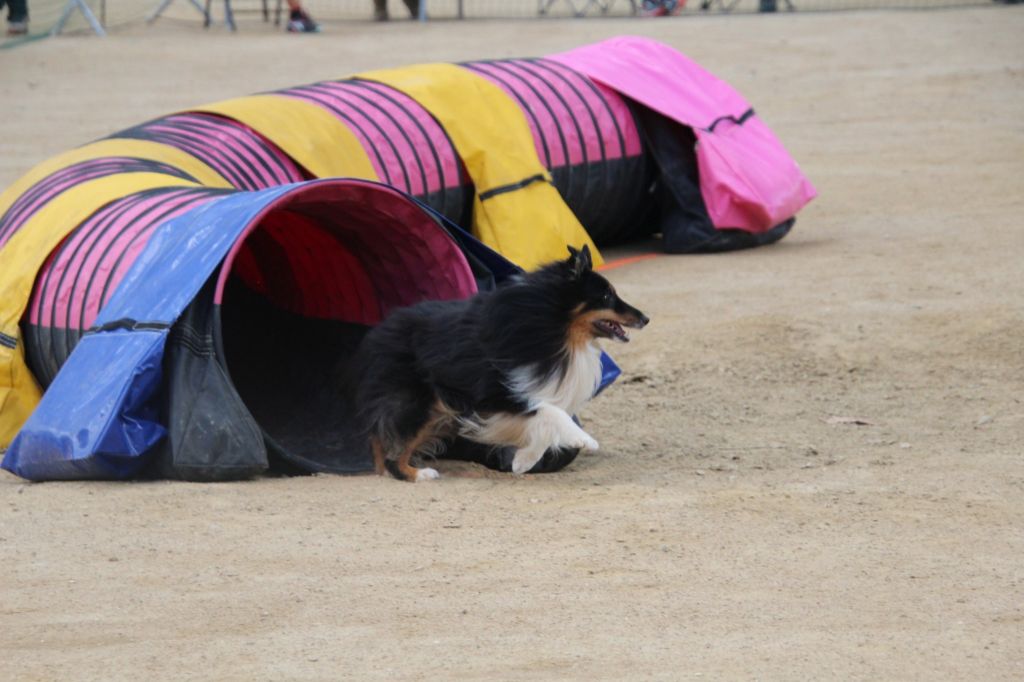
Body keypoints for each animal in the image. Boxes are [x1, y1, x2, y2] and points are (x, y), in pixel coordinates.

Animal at [348, 242, 643, 477]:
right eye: (606, 296)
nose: (646, 318)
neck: (551, 325)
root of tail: (377, 333)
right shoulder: (497, 392)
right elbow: (549, 410)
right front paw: (584, 440)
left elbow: (541, 420)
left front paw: (523, 462)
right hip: (418, 404)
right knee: (393, 451)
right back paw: (418, 474)